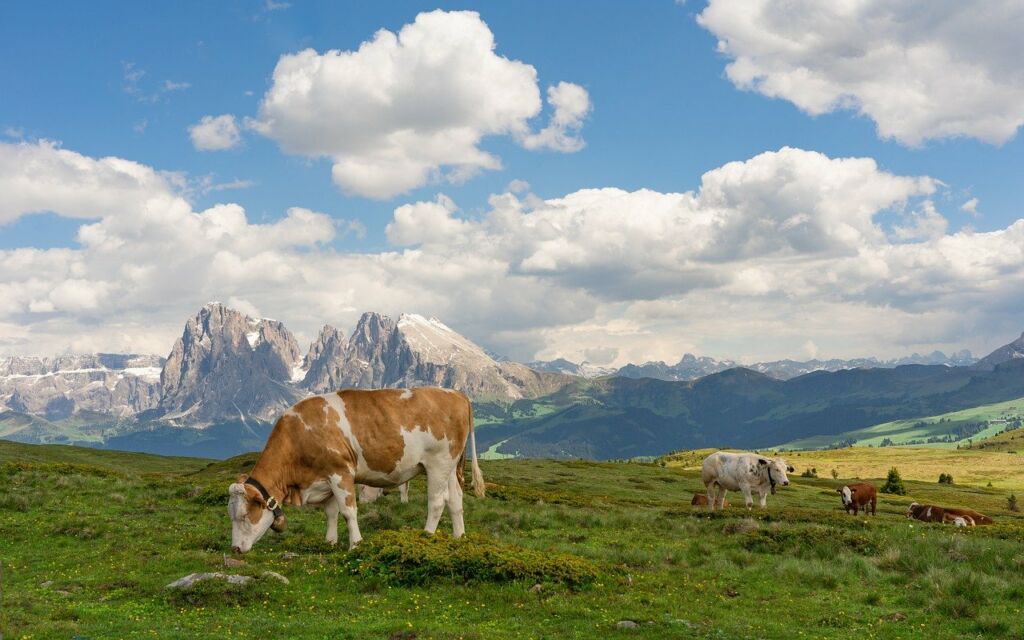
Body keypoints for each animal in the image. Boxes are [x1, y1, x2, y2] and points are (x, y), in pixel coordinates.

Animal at [228, 387, 483, 552]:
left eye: (244, 516)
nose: (235, 549)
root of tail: (456, 394)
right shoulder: (326, 477)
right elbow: (331, 512)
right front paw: (330, 542)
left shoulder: (340, 472)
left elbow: (348, 511)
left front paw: (355, 544)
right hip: (450, 466)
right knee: (455, 500)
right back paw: (459, 538)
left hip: (437, 462)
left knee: (438, 502)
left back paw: (426, 537)